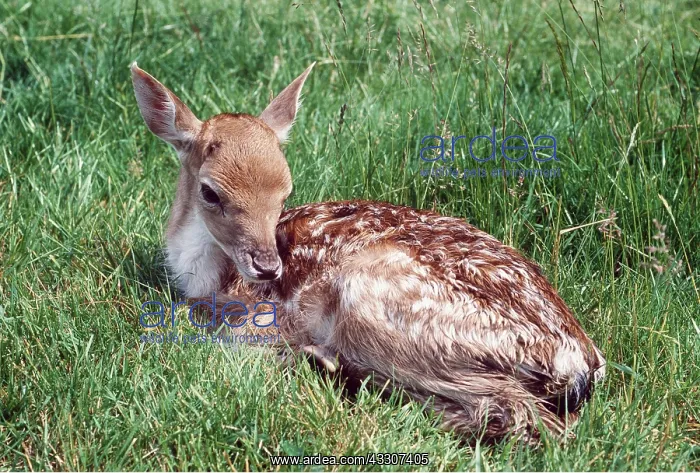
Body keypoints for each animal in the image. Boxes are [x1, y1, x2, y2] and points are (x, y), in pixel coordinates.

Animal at [131, 61, 606, 441]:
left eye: (286, 192)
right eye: (210, 192)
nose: (267, 267)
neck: (210, 274)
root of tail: (578, 363)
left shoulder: (261, 313)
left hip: (381, 305)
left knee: (520, 414)